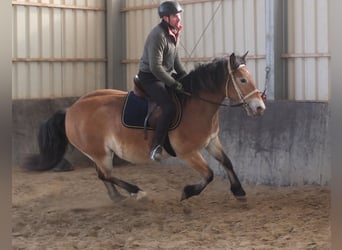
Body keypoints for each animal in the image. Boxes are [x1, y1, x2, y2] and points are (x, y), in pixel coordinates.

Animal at [22, 52, 266, 201]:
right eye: (242, 80)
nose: (260, 107)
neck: (196, 103)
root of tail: (71, 110)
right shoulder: (188, 152)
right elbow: (209, 174)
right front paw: (187, 192)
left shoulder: (212, 141)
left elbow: (227, 162)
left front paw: (239, 191)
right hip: (100, 153)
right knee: (105, 174)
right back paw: (135, 191)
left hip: (99, 153)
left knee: (102, 175)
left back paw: (118, 197)